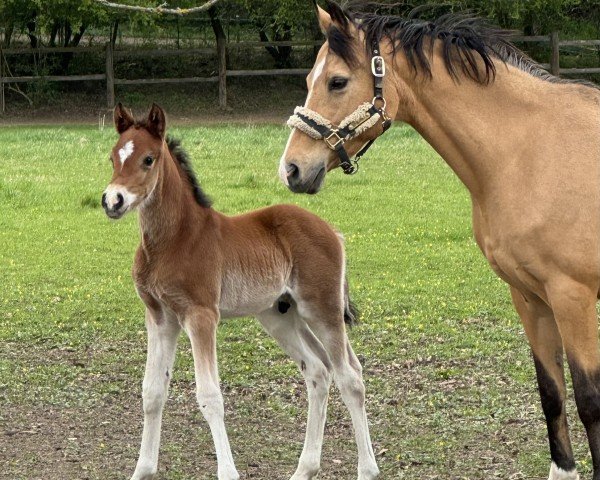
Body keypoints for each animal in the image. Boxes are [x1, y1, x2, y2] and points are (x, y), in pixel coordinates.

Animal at [101, 104, 378, 480]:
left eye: (148, 159)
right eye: (114, 156)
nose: (113, 200)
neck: (175, 239)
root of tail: (332, 230)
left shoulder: (201, 316)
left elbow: (210, 396)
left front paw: (228, 472)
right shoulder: (159, 317)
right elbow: (152, 391)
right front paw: (142, 470)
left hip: (323, 309)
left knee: (350, 377)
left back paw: (367, 469)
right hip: (280, 315)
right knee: (319, 371)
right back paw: (304, 469)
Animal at [278, 3, 600, 480]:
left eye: (336, 81)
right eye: (309, 80)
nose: (292, 169)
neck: (529, 151)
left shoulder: (571, 297)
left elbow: (589, 400)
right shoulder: (529, 296)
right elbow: (551, 393)